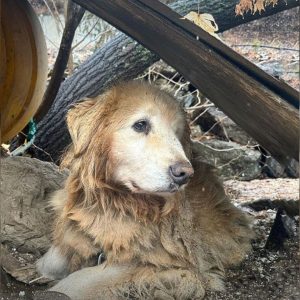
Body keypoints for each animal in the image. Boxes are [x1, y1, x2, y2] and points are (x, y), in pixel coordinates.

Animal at [37, 81, 253, 298]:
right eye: (141, 125)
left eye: (176, 133)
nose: (184, 174)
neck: (115, 202)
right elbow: (50, 260)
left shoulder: (155, 263)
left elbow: (78, 280)